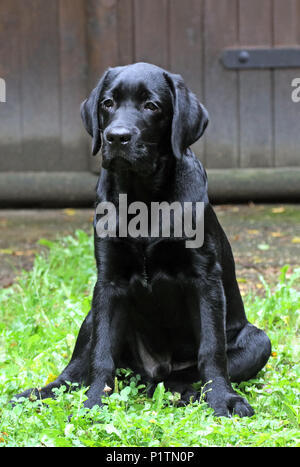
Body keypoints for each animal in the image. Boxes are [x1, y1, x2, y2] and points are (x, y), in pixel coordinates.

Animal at [13, 62, 272, 416]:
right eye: (108, 103)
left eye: (152, 106)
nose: (116, 137)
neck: (143, 200)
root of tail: (151, 372)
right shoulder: (108, 282)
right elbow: (101, 354)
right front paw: (95, 401)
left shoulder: (205, 278)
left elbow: (212, 350)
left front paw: (223, 398)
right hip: (90, 317)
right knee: (73, 372)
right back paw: (37, 394)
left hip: (259, 341)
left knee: (184, 374)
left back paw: (184, 391)